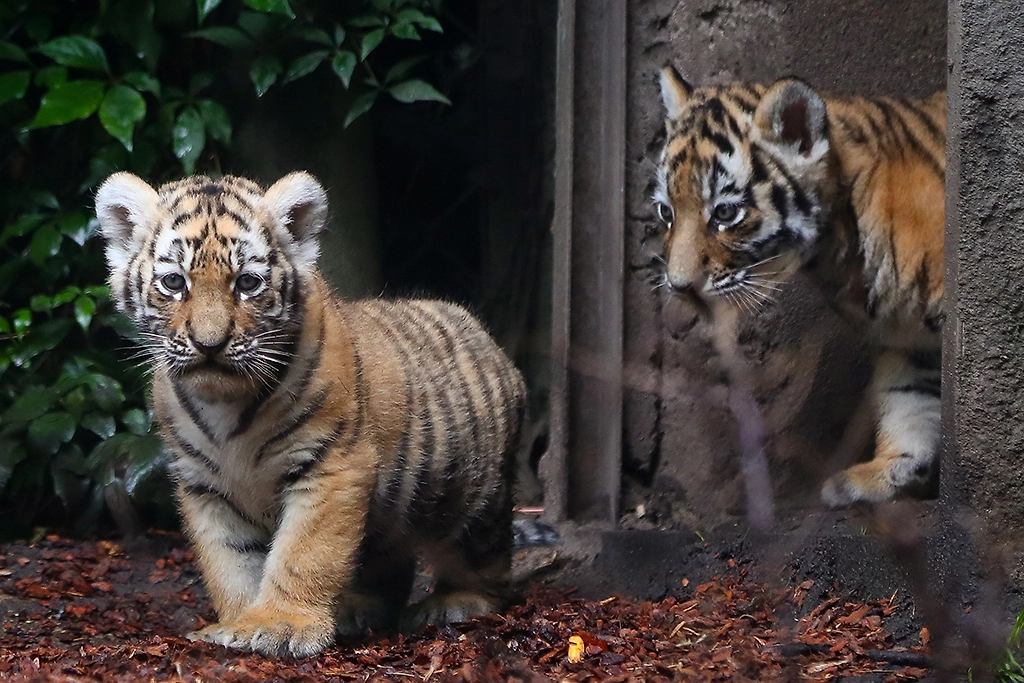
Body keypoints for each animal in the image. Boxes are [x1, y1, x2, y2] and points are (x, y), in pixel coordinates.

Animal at [94, 171, 528, 657]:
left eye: (247, 283)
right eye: (173, 282)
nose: (210, 344)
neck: (224, 403)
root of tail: (487, 337)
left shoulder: (331, 465)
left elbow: (305, 552)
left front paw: (281, 626)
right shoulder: (205, 485)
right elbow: (230, 561)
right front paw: (237, 623)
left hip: (471, 498)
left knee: (489, 565)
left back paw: (454, 602)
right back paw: (358, 609)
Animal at [653, 65, 945, 509]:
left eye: (725, 213)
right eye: (666, 212)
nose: (680, 285)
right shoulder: (909, 336)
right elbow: (910, 402)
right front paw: (885, 474)